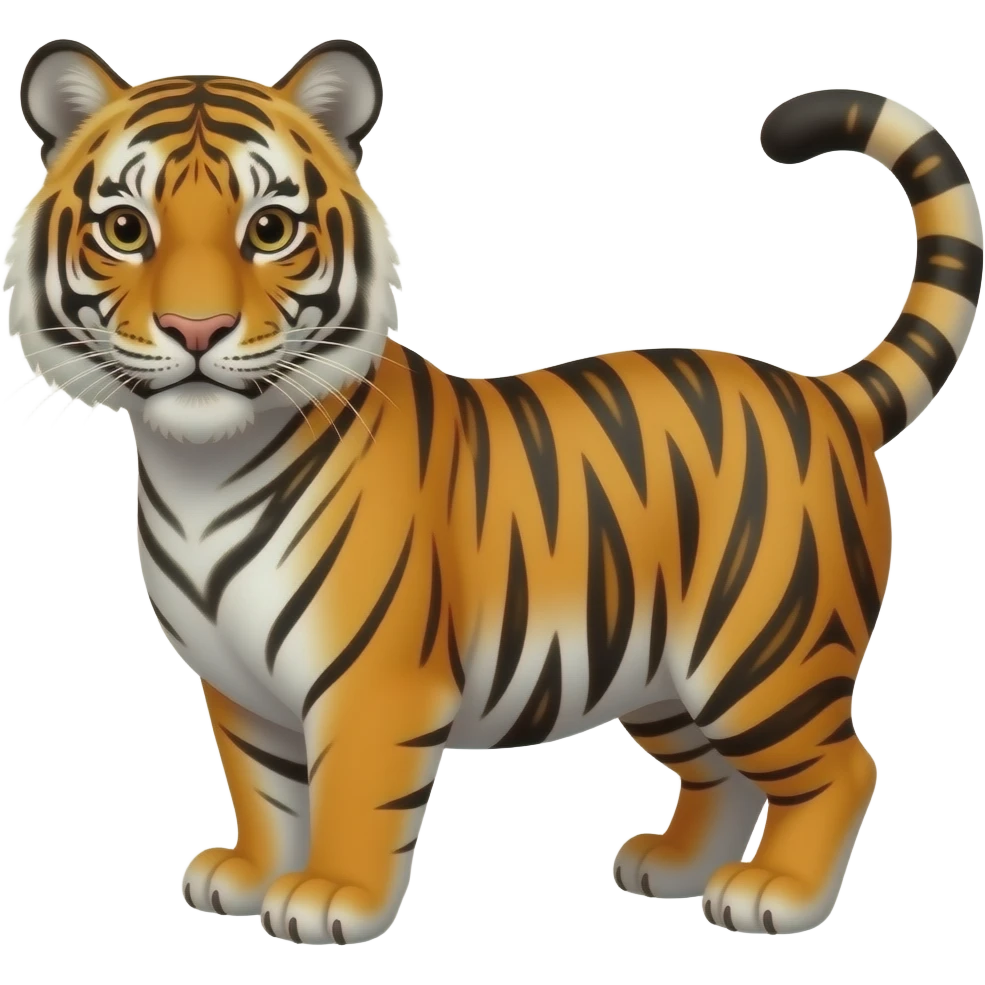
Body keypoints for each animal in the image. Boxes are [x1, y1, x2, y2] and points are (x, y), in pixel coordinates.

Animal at [4, 38, 982, 943]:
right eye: (126, 229)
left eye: (271, 229)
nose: (197, 328)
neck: (199, 466)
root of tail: (823, 393)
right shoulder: (240, 685)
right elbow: (265, 790)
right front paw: (247, 874)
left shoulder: (374, 680)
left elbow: (355, 793)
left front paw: (330, 897)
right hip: (665, 678)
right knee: (722, 772)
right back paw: (674, 866)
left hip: (761, 653)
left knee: (842, 768)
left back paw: (775, 893)